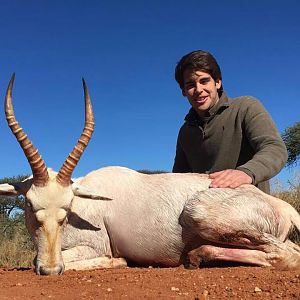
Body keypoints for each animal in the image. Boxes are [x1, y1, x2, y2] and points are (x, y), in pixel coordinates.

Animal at [1, 74, 300, 274]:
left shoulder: (94, 246)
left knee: (286, 255)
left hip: (200, 212)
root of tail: (283, 207)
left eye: (67, 207)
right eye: (30, 205)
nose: (50, 269)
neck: (84, 203)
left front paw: (118, 261)